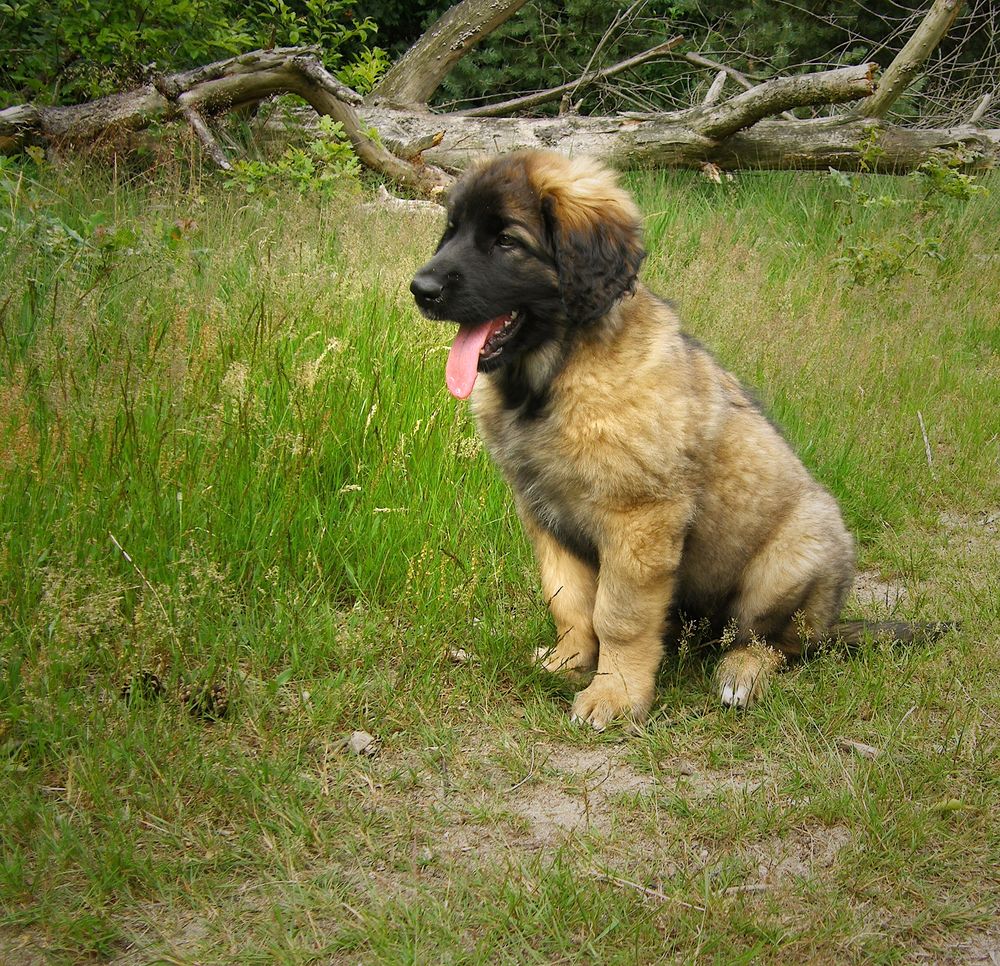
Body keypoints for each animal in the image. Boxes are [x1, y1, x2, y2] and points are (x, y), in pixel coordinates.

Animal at [410, 147, 924, 728]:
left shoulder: (639, 517)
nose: (420, 290)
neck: (555, 376)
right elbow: (569, 600)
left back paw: (741, 674)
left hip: (790, 558)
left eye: (506, 241)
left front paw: (614, 694)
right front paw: (570, 660)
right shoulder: (543, 513)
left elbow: (618, 616)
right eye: (451, 231)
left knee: (776, 643)